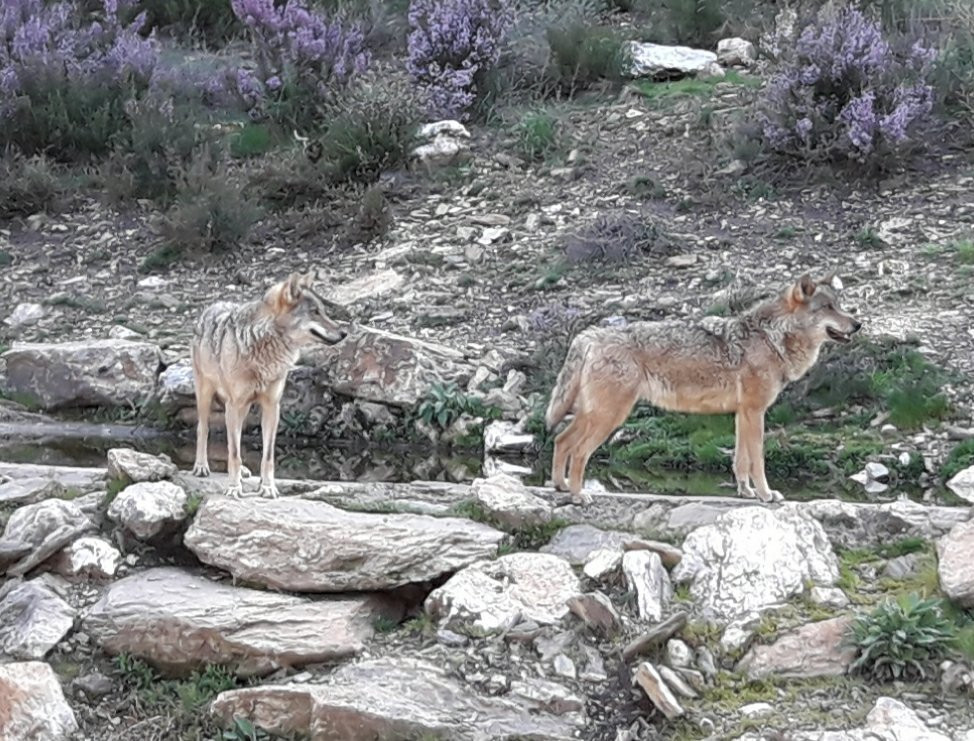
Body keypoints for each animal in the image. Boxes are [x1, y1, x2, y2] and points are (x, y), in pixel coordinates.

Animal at [191, 270, 346, 498]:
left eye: (323, 311)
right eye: (315, 312)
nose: (344, 333)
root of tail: (214, 305)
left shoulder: (272, 407)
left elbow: (267, 455)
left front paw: (267, 487)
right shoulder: (234, 404)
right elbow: (234, 452)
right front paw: (234, 488)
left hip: (243, 409)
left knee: (237, 438)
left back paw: (244, 472)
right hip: (207, 397)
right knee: (203, 430)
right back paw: (201, 467)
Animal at [548, 272, 860, 502]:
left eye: (839, 306)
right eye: (828, 308)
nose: (858, 324)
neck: (772, 338)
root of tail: (590, 335)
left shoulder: (742, 414)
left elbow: (740, 460)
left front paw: (746, 492)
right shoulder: (755, 412)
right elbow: (757, 460)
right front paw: (766, 494)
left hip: (594, 415)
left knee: (561, 439)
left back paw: (560, 486)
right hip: (609, 417)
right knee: (579, 451)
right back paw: (578, 495)